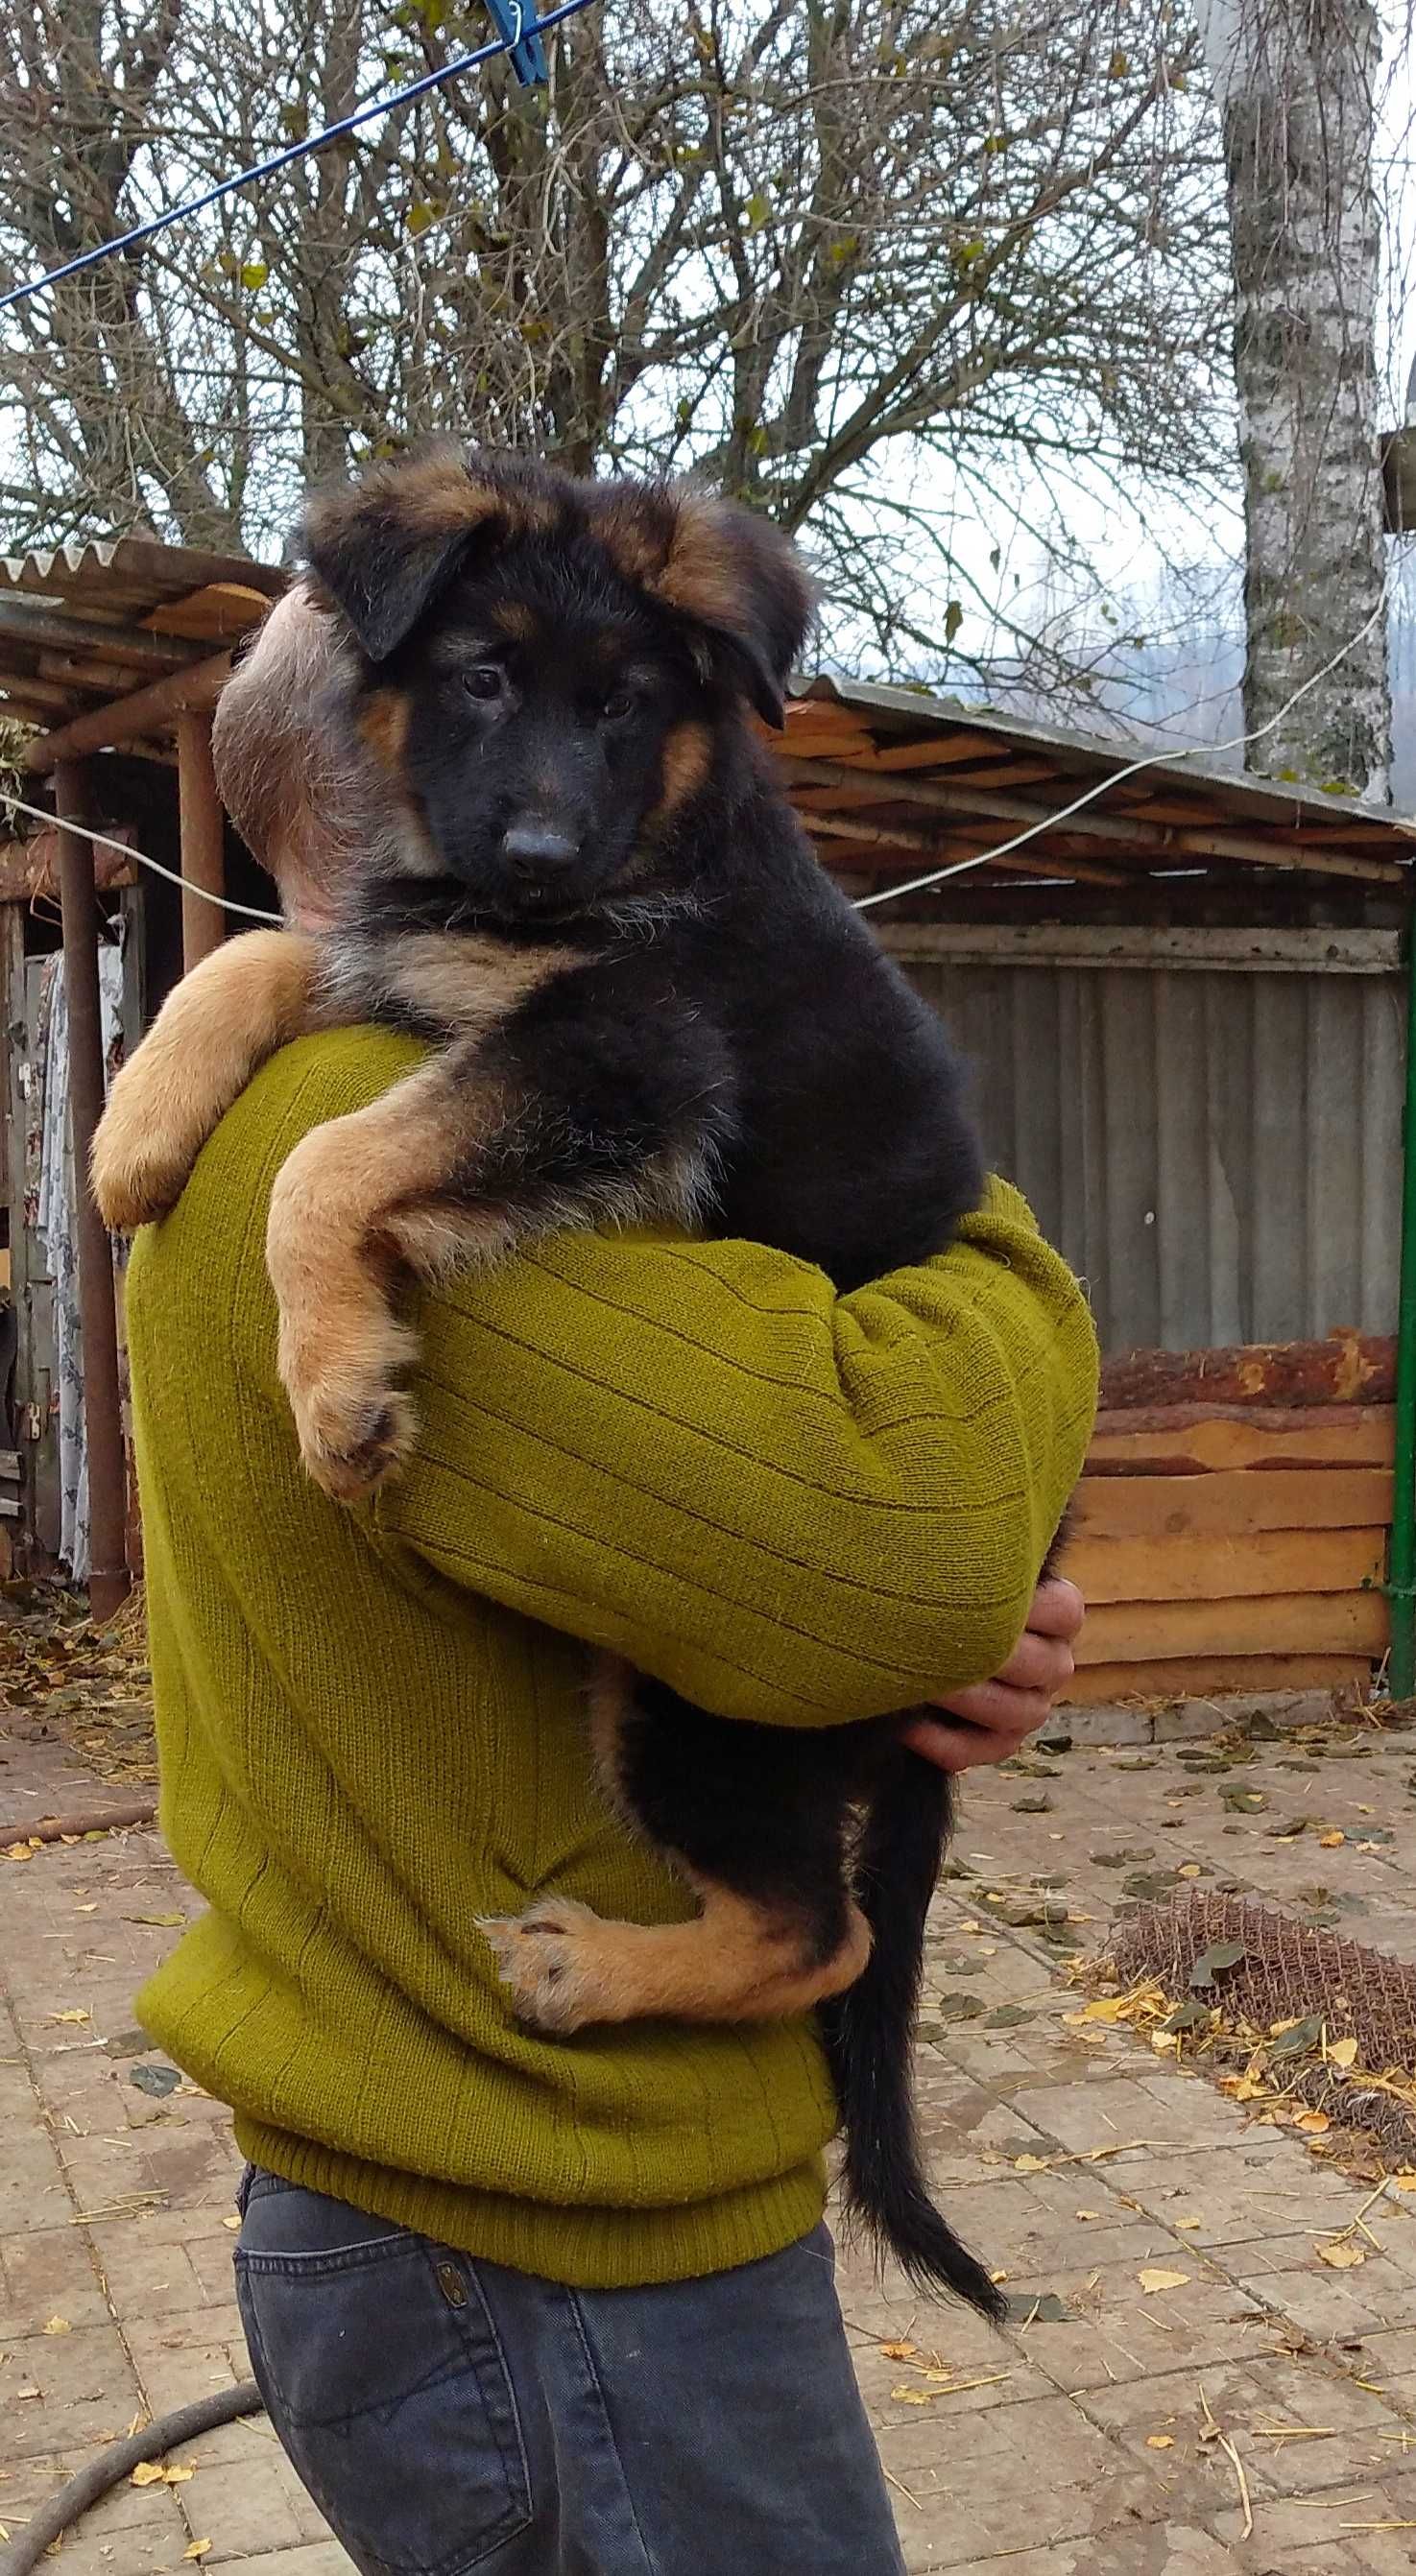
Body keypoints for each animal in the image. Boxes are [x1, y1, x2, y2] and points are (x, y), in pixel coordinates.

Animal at [94, 442, 1009, 2318]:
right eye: (480, 680)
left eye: (624, 703)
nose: (531, 849)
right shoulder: (435, 964)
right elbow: (269, 956)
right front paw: (135, 1132)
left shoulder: (619, 1054)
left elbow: (328, 1162)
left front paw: (337, 1388)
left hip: (696, 1707)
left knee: (826, 1929)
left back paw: (591, 1975)